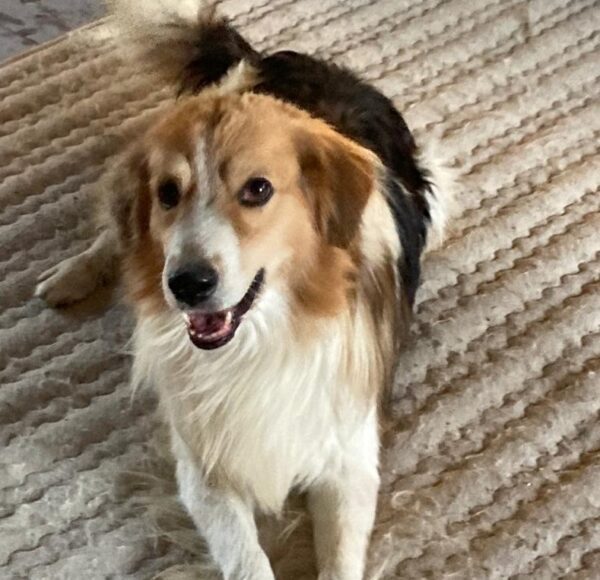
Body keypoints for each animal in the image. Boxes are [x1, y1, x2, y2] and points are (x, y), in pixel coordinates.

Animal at [35, 2, 452, 578]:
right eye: (167, 194)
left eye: (258, 190)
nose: (186, 285)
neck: (265, 336)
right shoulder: (203, 464)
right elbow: (245, 557)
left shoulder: (347, 458)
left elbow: (340, 556)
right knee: (114, 229)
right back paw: (72, 275)